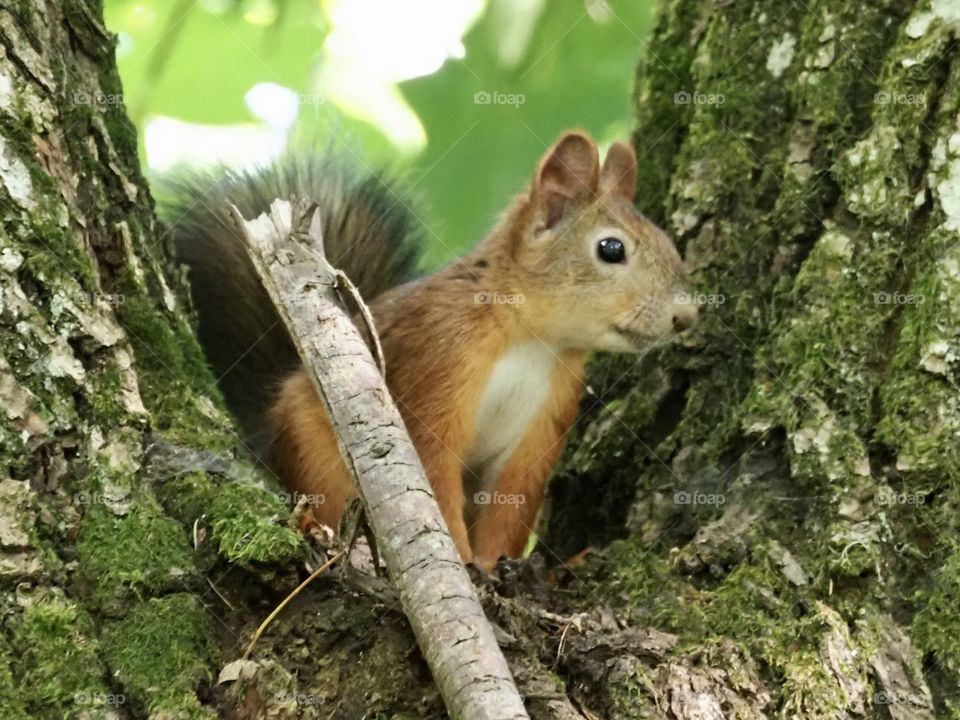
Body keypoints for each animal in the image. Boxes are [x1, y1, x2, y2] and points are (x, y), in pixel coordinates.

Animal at [159, 130, 697, 571]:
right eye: (611, 249)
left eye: (669, 243)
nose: (686, 316)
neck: (529, 340)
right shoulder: (436, 363)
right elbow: (434, 478)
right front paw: (462, 562)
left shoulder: (541, 421)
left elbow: (510, 500)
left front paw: (496, 565)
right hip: (314, 452)